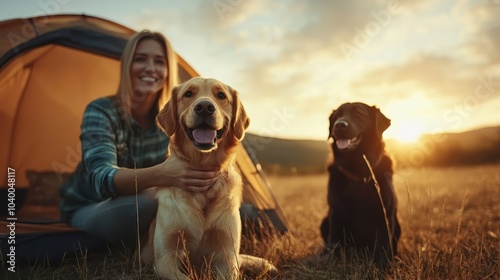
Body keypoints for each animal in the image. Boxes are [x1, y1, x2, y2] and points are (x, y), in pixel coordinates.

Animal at [320, 102, 402, 266]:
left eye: (359, 114)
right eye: (337, 116)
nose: (339, 125)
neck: (359, 172)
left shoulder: (385, 214)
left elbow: (382, 247)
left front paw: (380, 267)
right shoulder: (336, 212)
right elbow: (335, 241)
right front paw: (332, 264)